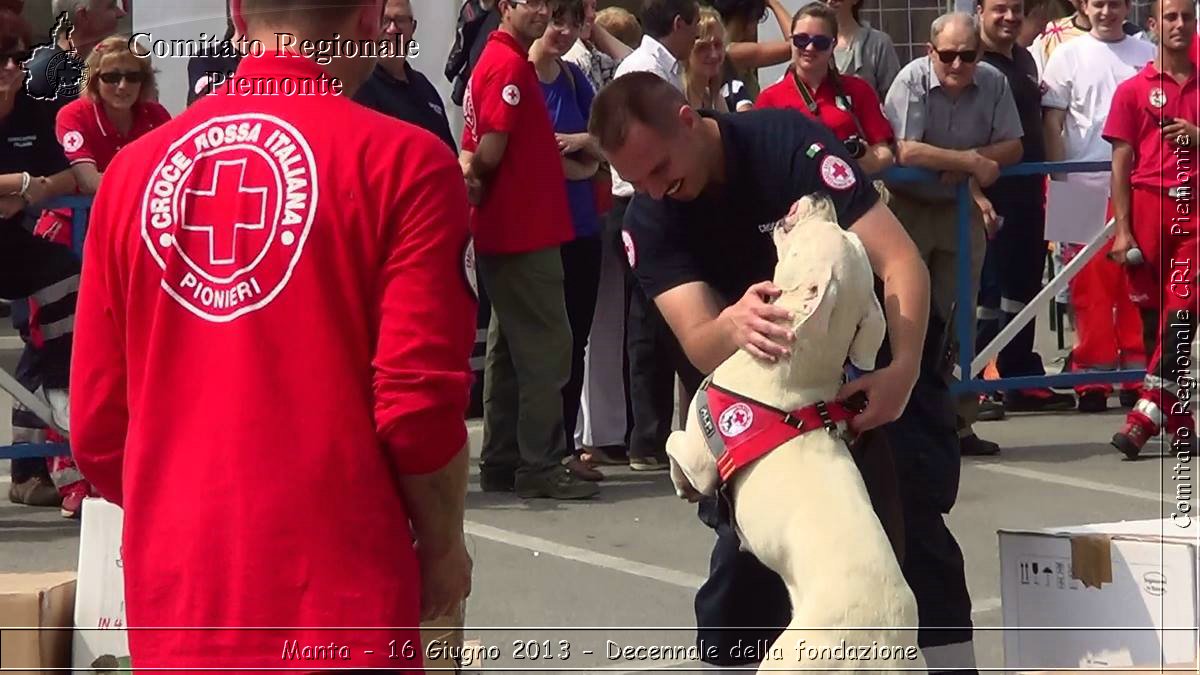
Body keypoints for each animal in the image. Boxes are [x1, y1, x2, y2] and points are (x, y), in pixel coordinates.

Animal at [667, 192, 926, 667]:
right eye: (848, 233)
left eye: (826, 231)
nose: (823, 195)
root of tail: (880, 642)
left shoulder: (700, 453)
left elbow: (676, 448)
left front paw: (682, 486)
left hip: (789, 657)